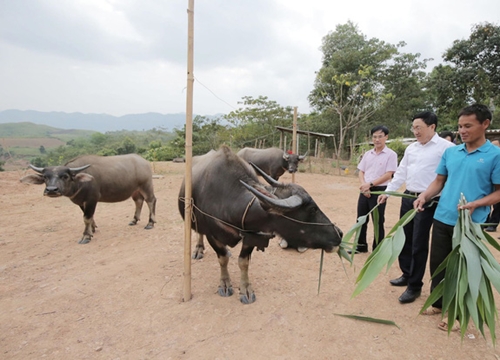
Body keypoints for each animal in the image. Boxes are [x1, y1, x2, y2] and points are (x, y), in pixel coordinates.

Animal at [20, 153, 156, 243]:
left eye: (65, 176)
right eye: (45, 177)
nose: (52, 190)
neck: (79, 182)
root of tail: (143, 161)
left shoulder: (92, 199)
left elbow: (86, 217)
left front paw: (86, 236)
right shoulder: (82, 202)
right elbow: (89, 217)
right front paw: (93, 229)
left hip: (146, 185)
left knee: (151, 200)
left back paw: (150, 223)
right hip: (135, 190)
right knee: (138, 201)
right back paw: (134, 220)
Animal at [178, 146, 342, 304]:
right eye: (312, 209)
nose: (339, 233)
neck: (227, 199)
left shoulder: (252, 235)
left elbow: (243, 262)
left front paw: (246, 289)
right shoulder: (212, 235)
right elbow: (222, 258)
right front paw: (225, 284)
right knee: (199, 232)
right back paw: (198, 249)